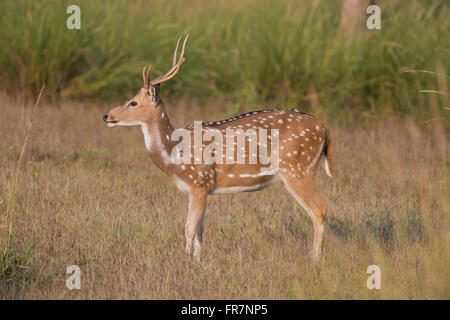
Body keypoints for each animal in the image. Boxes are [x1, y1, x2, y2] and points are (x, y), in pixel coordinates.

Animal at [103, 35, 334, 262]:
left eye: (133, 103)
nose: (106, 115)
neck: (174, 153)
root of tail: (325, 129)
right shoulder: (204, 187)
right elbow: (200, 231)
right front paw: (198, 263)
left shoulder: (198, 182)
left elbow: (188, 229)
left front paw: (185, 262)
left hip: (297, 169)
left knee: (320, 208)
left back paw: (315, 259)